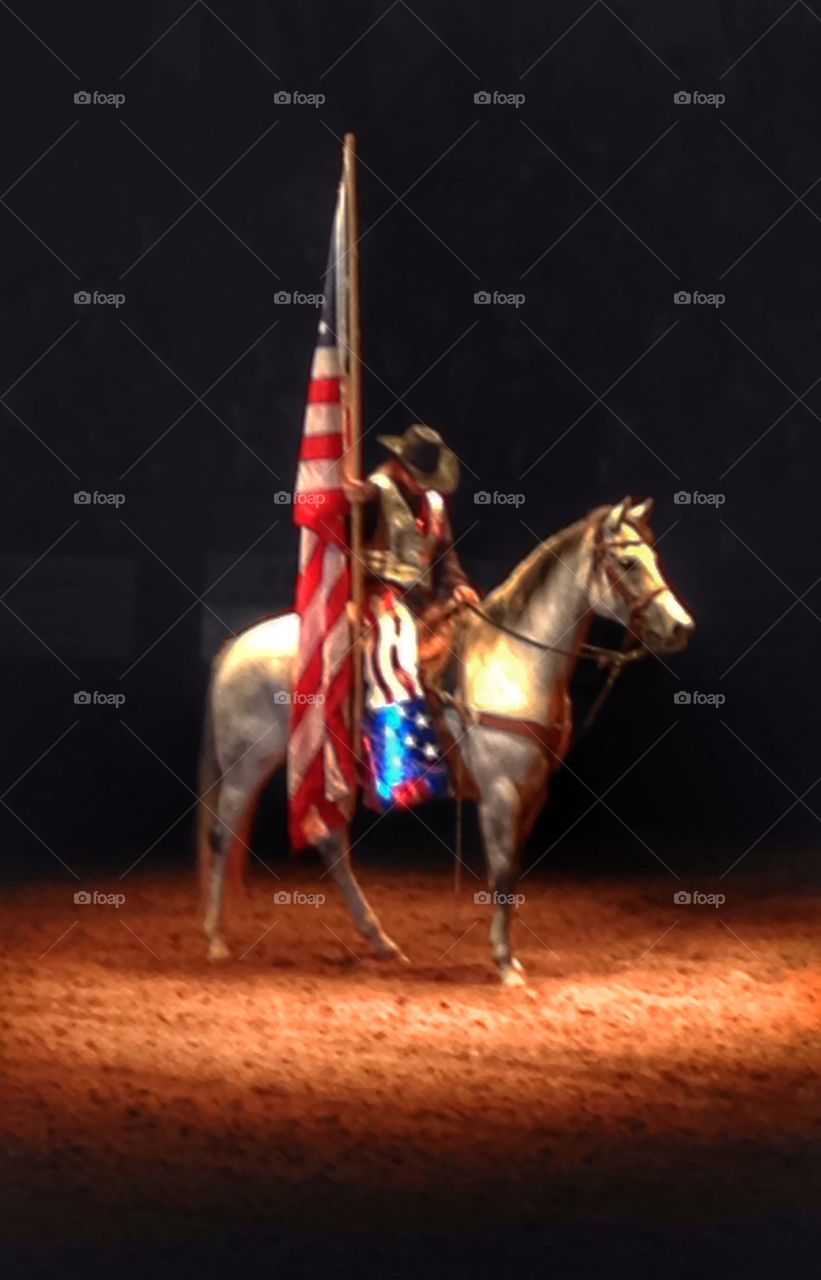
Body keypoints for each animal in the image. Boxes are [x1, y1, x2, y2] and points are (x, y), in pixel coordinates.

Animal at [197, 494, 691, 983]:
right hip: (248, 766)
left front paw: (508, 956)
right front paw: (504, 963)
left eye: (654, 558)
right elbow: (502, 874)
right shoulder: (499, 793)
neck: (516, 661)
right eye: (628, 562)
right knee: (223, 836)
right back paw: (216, 940)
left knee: (331, 844)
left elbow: (512, 872)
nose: (680, 627)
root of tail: (235, 646)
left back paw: (381, 943)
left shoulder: (534, 792)